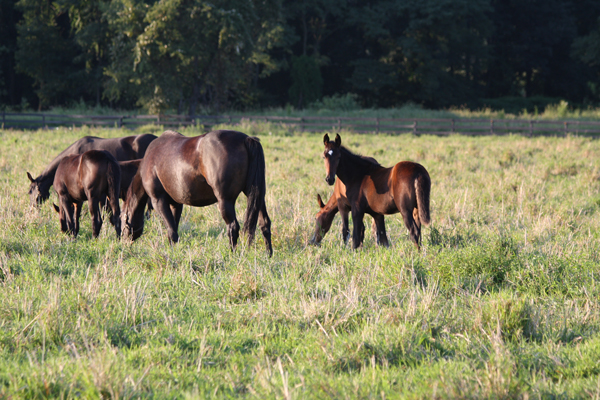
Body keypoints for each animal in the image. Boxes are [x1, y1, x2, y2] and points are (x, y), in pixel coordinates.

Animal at [122, 131, 274, 256]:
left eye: (123, 221)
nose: (123, 243)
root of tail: (246, 139)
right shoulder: (176, 204)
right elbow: (174, 228)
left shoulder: (158, 201)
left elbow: (171, 231)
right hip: (256, 197)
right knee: (264, 223)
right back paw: (268, 255)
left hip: (225, 201)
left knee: (233, 227)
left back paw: (233, 255)